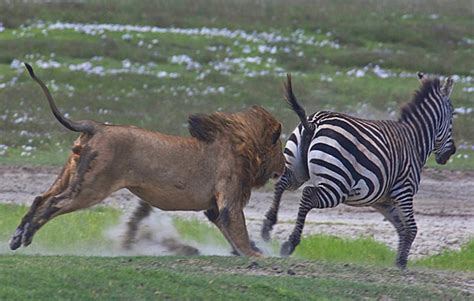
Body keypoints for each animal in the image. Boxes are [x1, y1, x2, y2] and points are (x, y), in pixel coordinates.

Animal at [10, 63, 286, 255]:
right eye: (281, 150)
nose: (284, 167)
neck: (243, 146)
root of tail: (96, 126)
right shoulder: (228, 199)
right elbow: (238, 228)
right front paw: (256, 256)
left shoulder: (213, 207)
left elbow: (232, 232)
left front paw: (252, 251)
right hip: (91, 186)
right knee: (53, 202)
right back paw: (26, 237)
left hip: (71, 174)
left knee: (39, 198)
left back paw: (16, 237)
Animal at [262, 72, 458, 268]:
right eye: (453, 117)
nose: (452, 152)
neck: (415, 141)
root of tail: (315, 123)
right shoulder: (404, 190)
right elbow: (411, 228)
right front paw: (402, 263)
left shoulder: (383, 201)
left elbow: (401, 227)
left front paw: (398, 262)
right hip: (337, 185)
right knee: (308, 195)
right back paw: (290, 243)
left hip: (297, 170)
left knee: (281, 183)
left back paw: (267, 226)